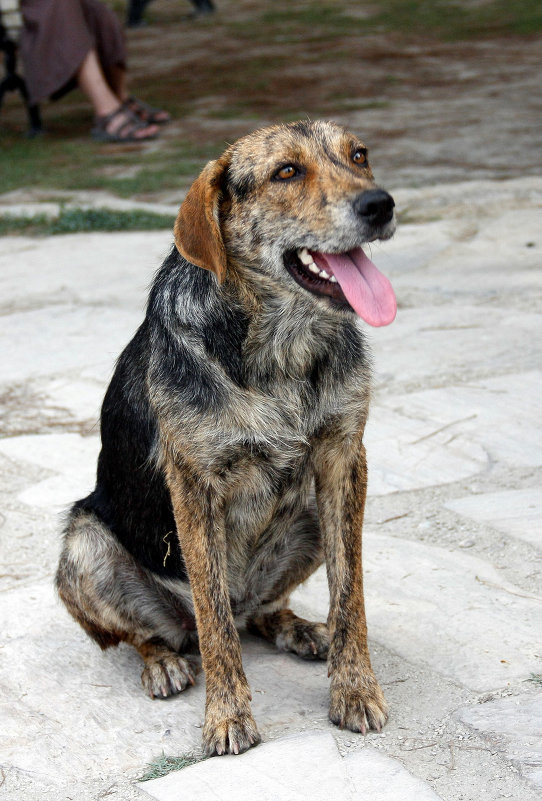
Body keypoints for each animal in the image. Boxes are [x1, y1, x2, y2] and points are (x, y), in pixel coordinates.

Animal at [56, 115, 400, 752]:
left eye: (359, 155)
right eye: (286, 172)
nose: (380, 204)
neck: (282, 349)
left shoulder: (344, 462)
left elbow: (351, 595)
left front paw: (355, 688)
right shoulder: (194, 485)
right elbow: (213, 618)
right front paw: (227, 716)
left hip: (311, 514)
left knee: (258, 612)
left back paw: (297, 627)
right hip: (84, 548)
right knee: (167, 631)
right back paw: (164, 662)